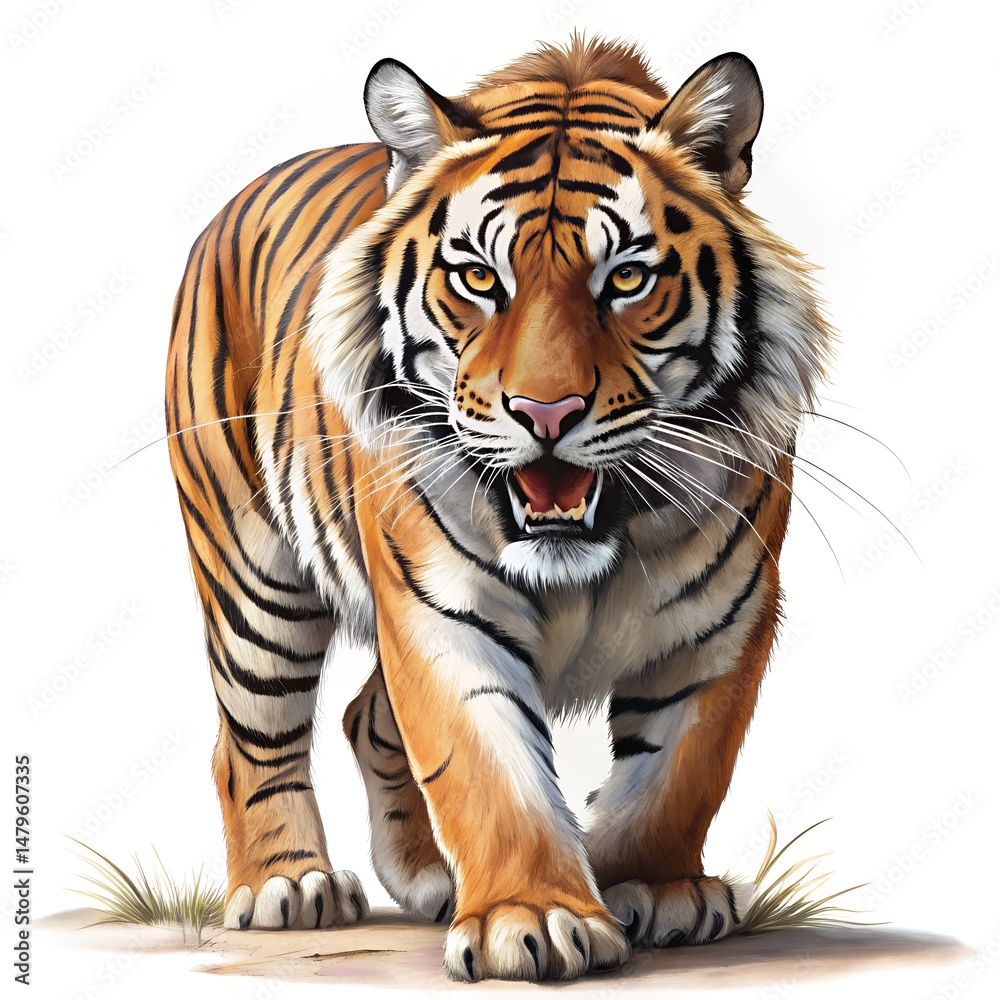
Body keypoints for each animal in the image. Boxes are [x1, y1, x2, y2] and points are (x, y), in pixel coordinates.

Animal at [165, 36, 832, 981]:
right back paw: (287, 884)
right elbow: (488, 769)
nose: (545, 413)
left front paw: (656, 888)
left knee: (365, 717)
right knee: (250, 738)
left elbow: (680, 772)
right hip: (252, 576)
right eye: (480, 277)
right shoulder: (440, 612)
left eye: (628, 277)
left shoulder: (720, 622)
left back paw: (429, 878)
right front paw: (535, 917)